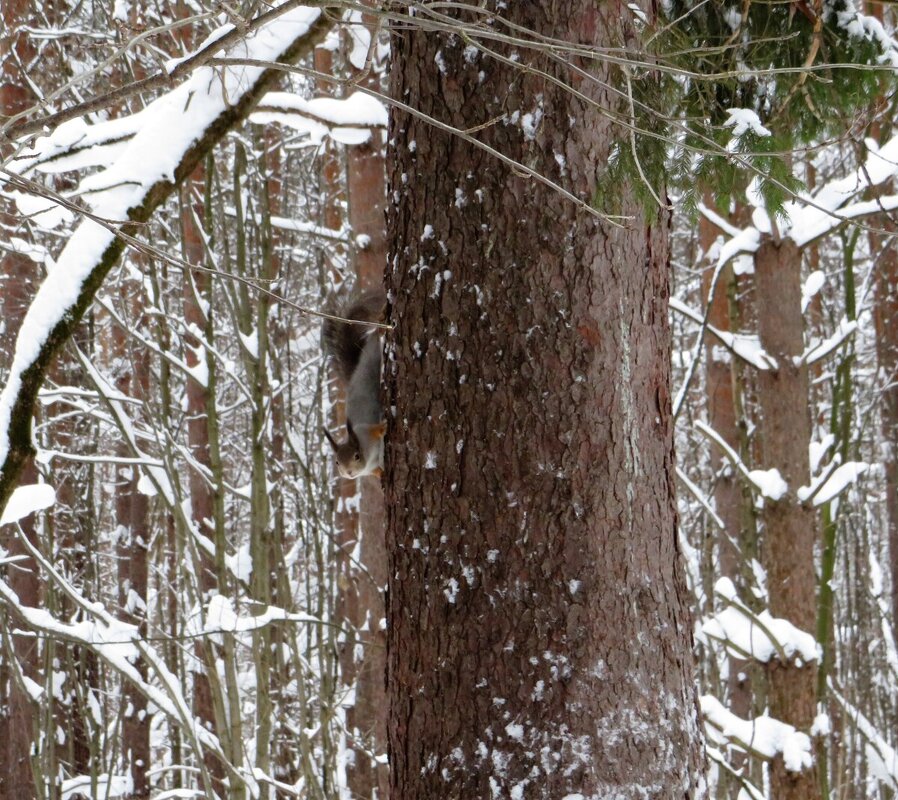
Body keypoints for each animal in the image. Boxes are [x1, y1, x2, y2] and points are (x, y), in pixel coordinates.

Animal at [320, 290, 384, 478]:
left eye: (356, 456)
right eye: (337, 462)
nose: (348, 473)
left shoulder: (365, 433)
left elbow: (376, 430)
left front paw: (383, 428)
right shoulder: (370, 468)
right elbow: (377, 471)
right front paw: (381, 474)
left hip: (372, 355)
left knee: (376, 335)